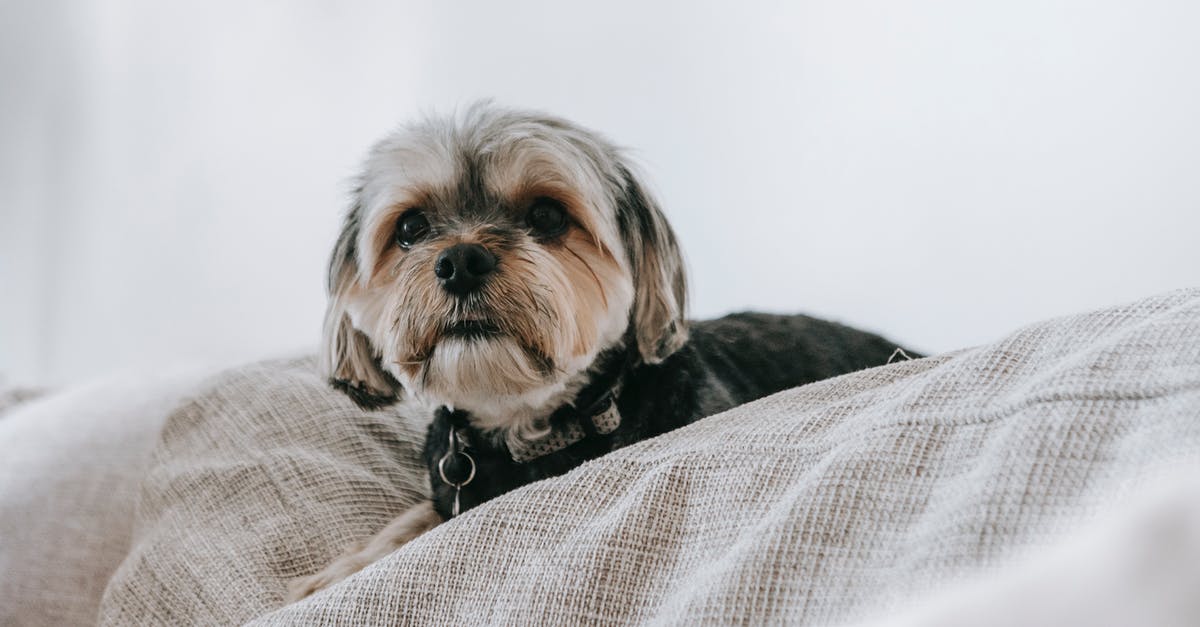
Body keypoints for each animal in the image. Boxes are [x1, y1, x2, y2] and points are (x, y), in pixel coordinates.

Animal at [288, 103, 916, 600]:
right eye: (410, 228)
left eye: (546, 215)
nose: (460, 261)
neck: (531, 427)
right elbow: (413, 521)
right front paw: (340, 571)